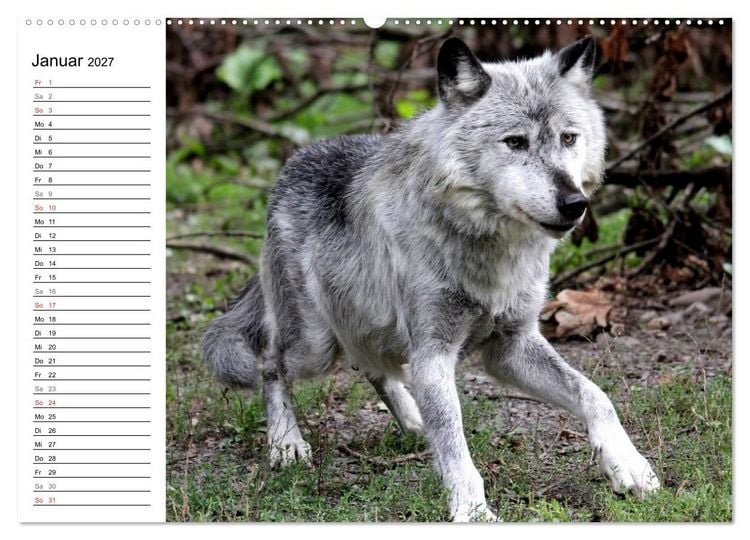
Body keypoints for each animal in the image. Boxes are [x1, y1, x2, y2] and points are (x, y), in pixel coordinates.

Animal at [202, 36, 660, 521]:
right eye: (515, 142)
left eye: (569, 138)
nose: (575, 203)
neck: (490, 250)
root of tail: (291, 165)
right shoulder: (434, 353)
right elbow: (454, 441)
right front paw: (472, 511)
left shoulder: (509, 347)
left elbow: (595, 395)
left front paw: (629, 465)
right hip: (314, 344)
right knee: (271, 362)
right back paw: (286, 443)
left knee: (374, 368)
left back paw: (412, 418)